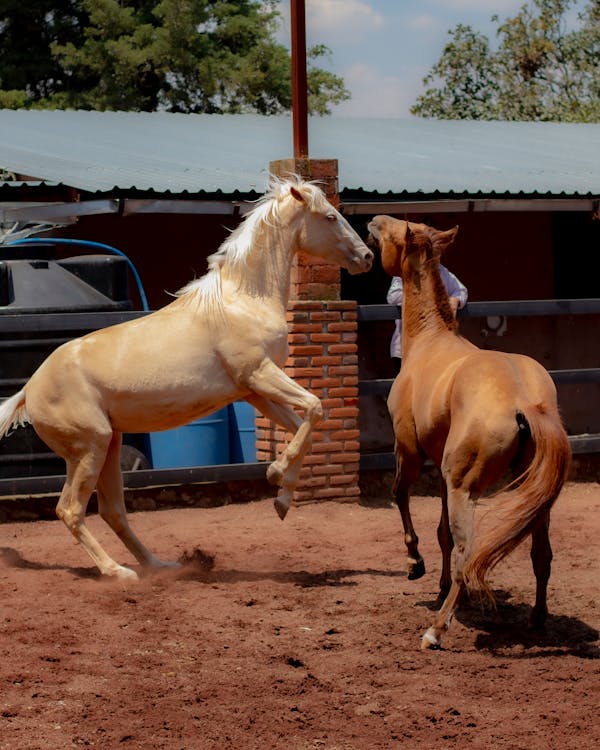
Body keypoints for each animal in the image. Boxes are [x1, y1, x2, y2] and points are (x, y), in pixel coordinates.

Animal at [0, 176, 376, 580]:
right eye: (330, 216)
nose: (367, 257)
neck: (244, 300)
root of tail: (28, 390)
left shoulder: (253, 391)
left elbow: (303, 427)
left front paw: (282, 499)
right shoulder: (260, 374)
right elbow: (315, 408)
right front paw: (275, 473)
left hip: (109, 444)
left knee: (113, 512)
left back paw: (159, 565)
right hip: (89, 447)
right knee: (70, 510)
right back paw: (118, 573)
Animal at [368, 216, 568, 652]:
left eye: (397, 230)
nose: (374, 221)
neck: (428, 342)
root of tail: (524, 400)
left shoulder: (409, 452)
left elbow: (400, 496)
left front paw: (415, 563)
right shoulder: (442, 474)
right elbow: (441, 532)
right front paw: (439, 584)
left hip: (465, 490)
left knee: (467, 554)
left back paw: (436, 630)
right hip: (532, 497)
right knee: (541, 556)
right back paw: (537, 619)